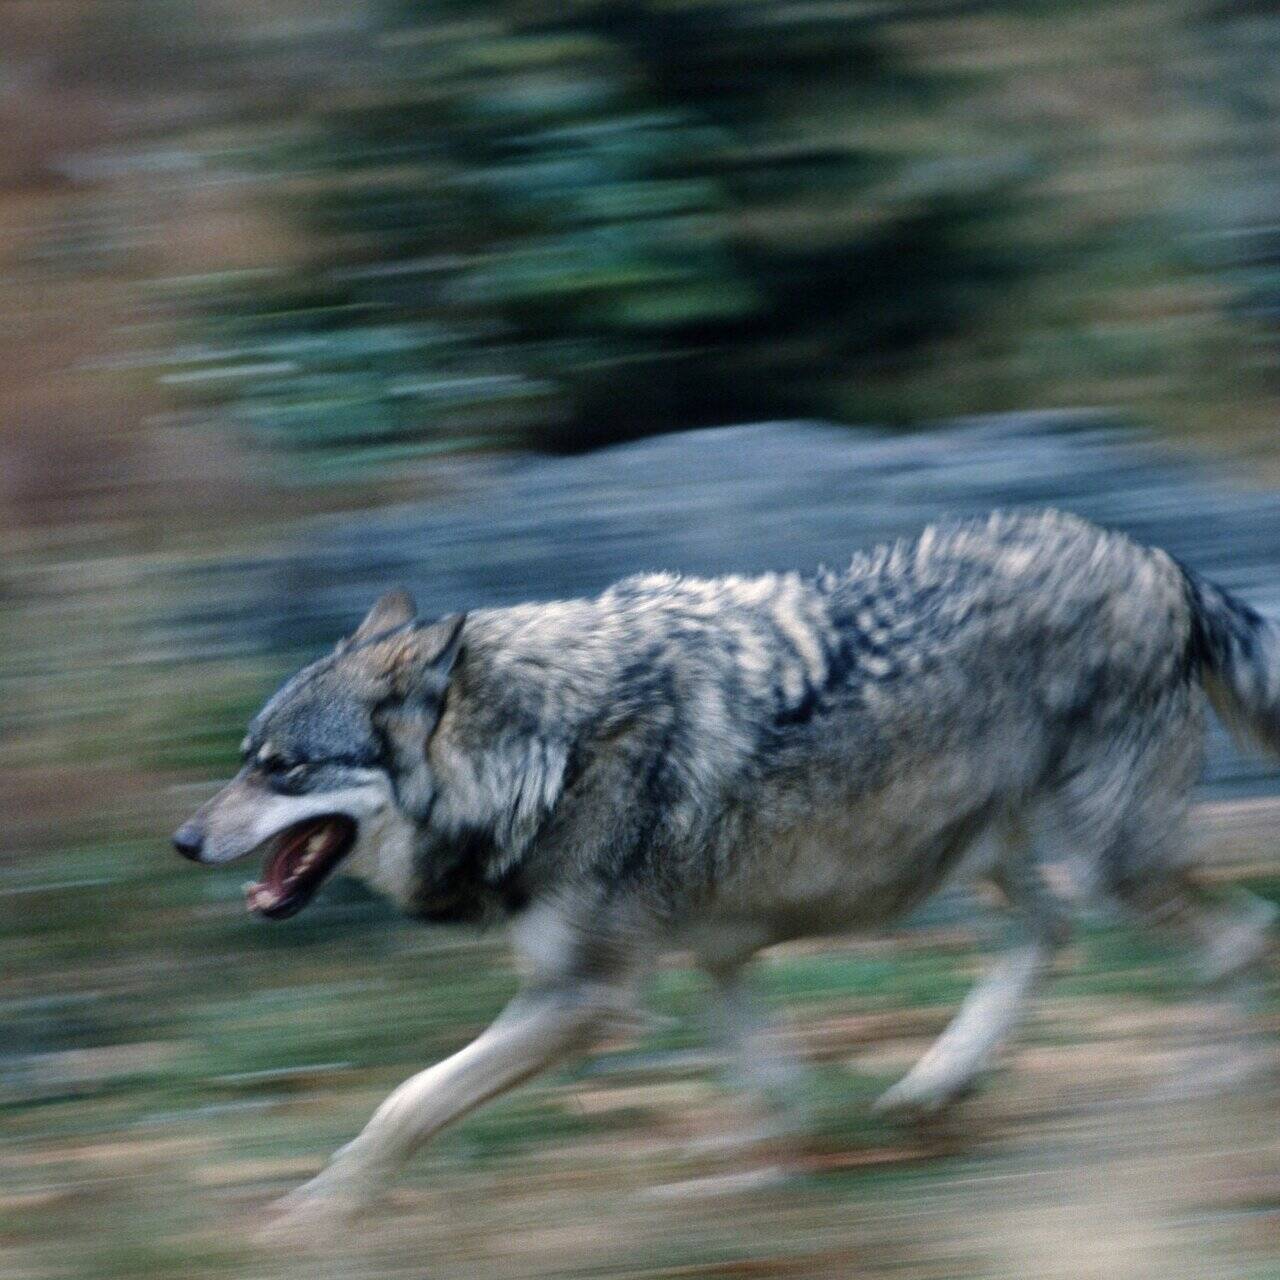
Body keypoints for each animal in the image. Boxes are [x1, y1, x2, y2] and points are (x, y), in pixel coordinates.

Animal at [175, 509, 1274, 1228]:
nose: (183, 841)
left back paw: (1207, 1090)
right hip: (988, 859)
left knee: (1235, 937)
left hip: (1105, 854)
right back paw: (935, 1085)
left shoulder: (587, 996)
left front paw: (315, 1212)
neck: (542, 749)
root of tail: (1160, 559)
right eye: (244, 756)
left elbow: (403, 1101)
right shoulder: (711, 954)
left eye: (282, 768)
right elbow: (770, 1087)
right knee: (1051, 934)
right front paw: (754, 1182)